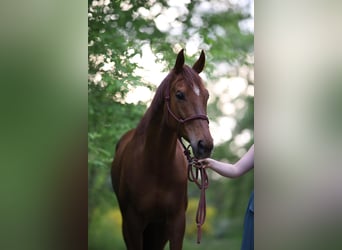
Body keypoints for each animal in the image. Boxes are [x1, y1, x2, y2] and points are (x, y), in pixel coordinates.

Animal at [112, 49, 212, 249]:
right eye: (180, 94)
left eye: (206, 96)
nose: (205, 145)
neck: (156, 165)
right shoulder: (133, 225)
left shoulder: (176, 224)